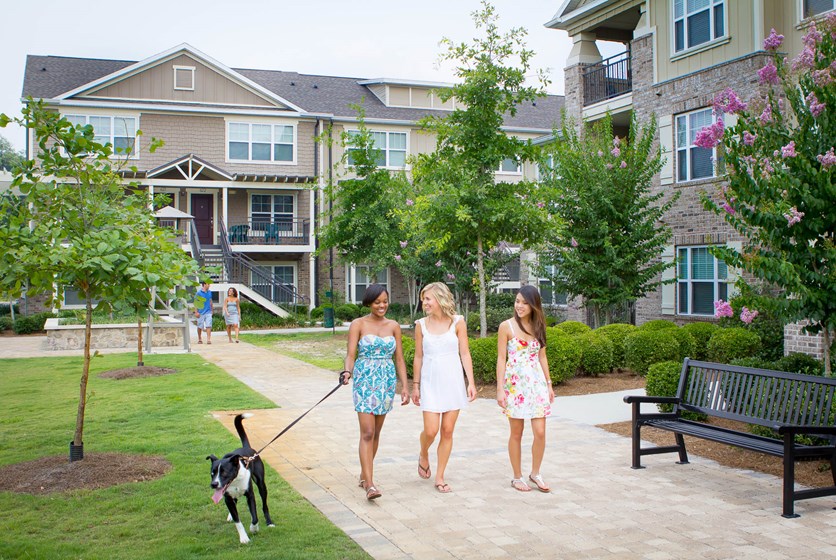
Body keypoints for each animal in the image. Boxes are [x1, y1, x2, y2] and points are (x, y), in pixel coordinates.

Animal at [206, 412, 274, 544]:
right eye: (212, 473)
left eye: (224, 473)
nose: (214, 484)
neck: (235, 482)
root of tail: (247, 448)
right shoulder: (227, 498)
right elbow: (238, 521)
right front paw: (244, 538)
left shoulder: (250, 495)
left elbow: (254, 517)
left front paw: (254, 529)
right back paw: (230, 516)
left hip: (261, 484)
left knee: (264, 505)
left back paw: (269, 522)